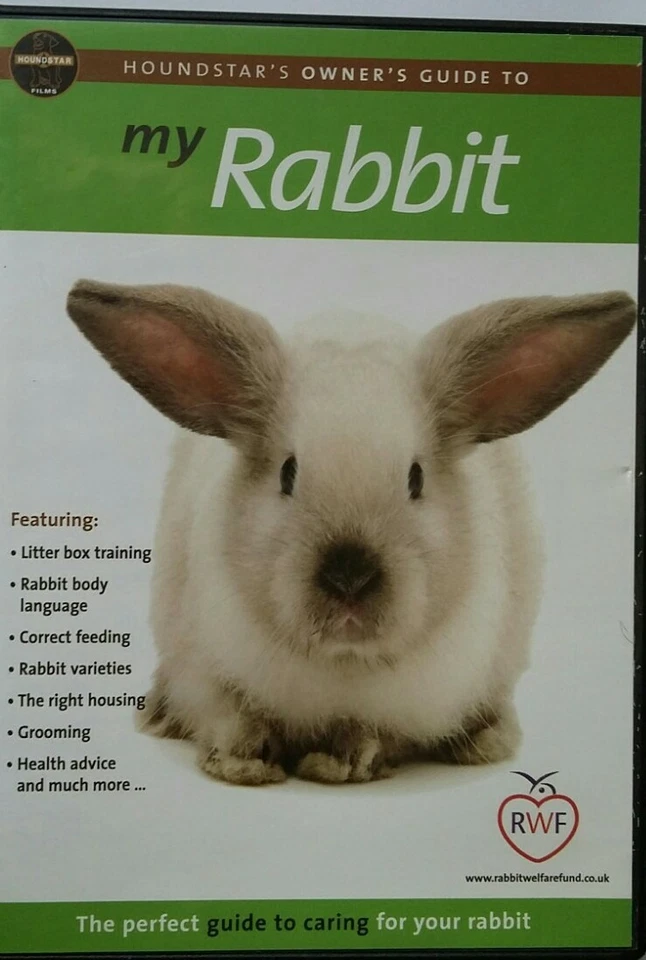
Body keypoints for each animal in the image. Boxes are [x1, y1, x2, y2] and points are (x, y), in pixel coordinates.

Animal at [66, 280, 636, 786]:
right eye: (288, 474)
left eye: (416, 479)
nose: (349, 579)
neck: (342, 663)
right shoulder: (200, 671)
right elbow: (230, 715)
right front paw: (243, 762)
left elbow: (370, 734)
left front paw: (342, 763)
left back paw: (486, 741)